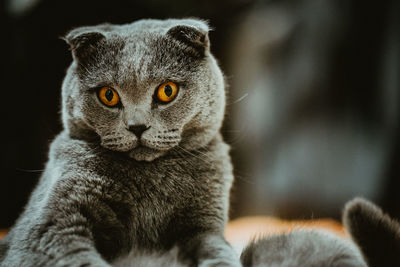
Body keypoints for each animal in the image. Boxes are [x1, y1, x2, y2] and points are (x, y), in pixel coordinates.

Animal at [0, 18, 241, 267]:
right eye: (108, 95)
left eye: (167, 90)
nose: (137, 126)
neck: (149, 179)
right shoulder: (50, 228)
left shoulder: (205, 228)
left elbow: (220, 252)